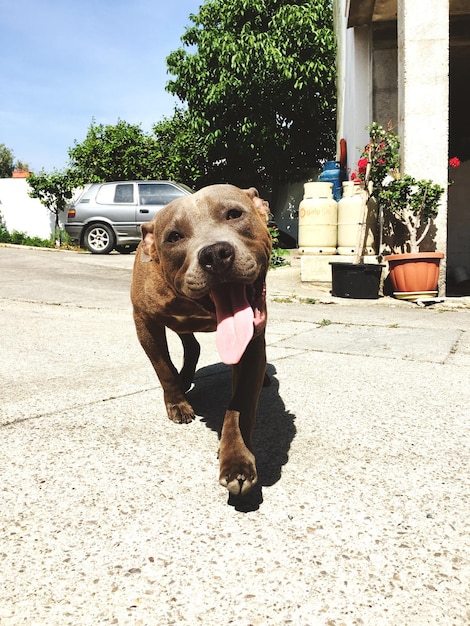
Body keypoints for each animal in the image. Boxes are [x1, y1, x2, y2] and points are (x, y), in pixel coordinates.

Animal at [131, 183, 272, 494]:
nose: (215, 254)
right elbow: (163, 367)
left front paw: (236, 459)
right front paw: (177, 402)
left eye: (234, 214)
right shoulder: (144, 321)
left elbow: (241, 402)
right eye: (173, 236)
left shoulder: (252, 343)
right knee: (190, 345)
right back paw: (183, 380)